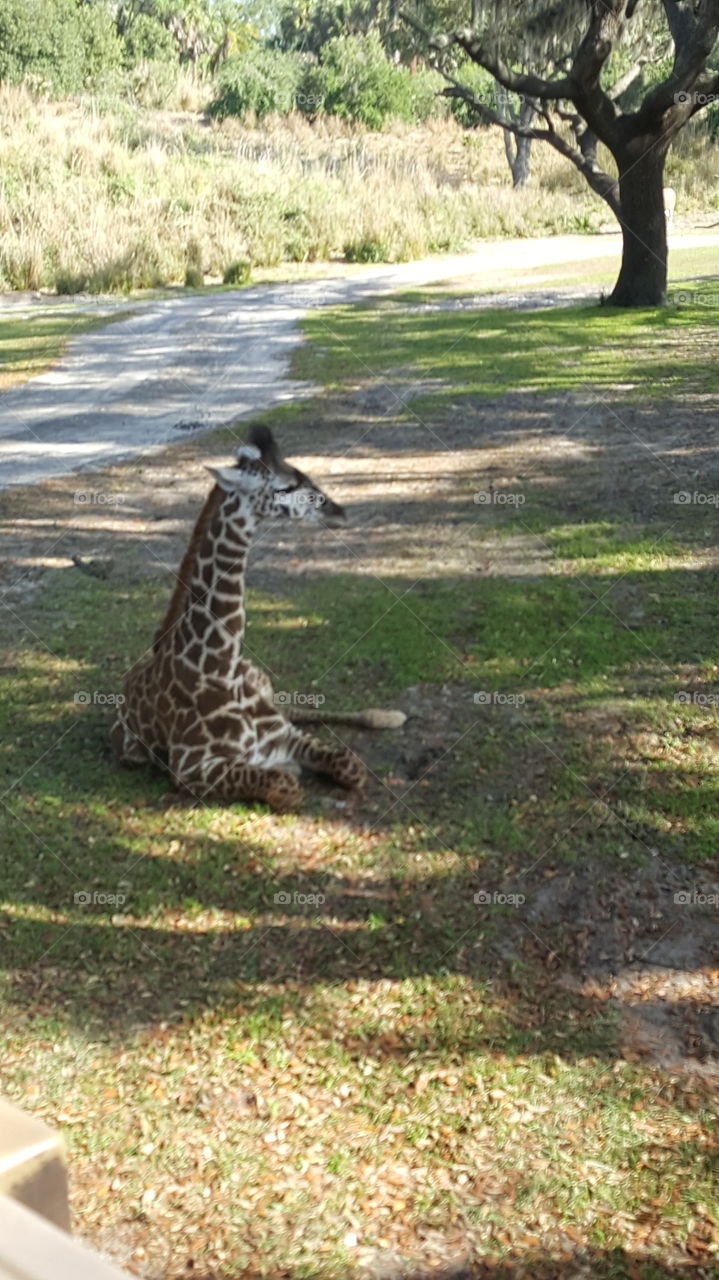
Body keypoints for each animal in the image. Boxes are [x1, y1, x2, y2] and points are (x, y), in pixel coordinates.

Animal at [111, 425, 405, 811]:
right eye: (284, 487)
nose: (338, 512)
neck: (219, 671)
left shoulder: (286, 735)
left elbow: (351, 766)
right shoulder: (191, 768)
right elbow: (285, 786)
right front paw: (287, 772)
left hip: (266, 686)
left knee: (293, 708)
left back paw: (386, 716)